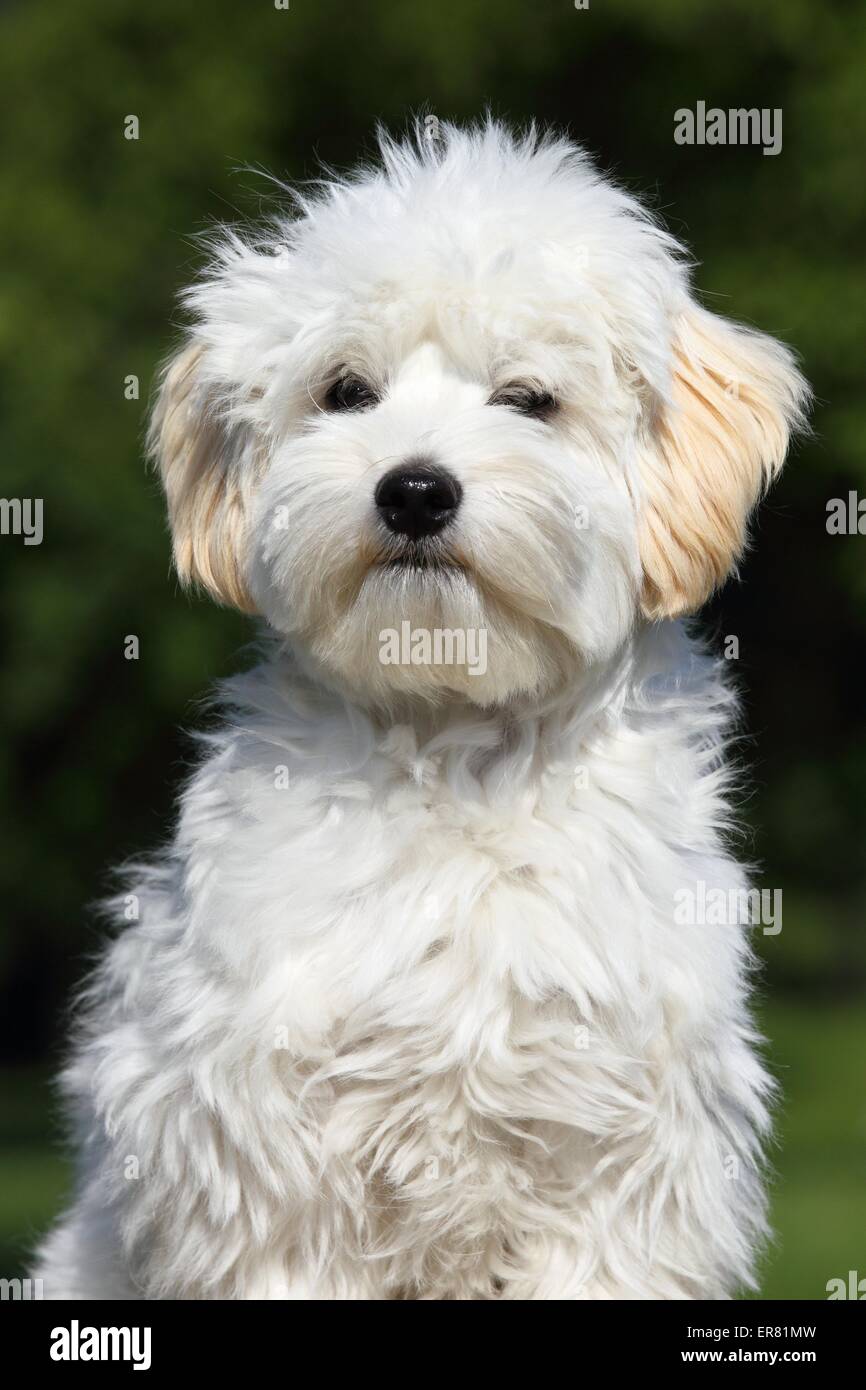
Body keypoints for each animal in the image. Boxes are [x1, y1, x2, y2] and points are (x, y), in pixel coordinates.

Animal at [33, 125, 806, 1295]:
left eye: (528, 398)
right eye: (346, 390)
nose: (414, 490)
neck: (455, 754)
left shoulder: (623, 1173)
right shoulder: (262, 1166)